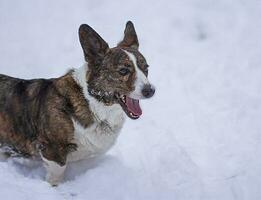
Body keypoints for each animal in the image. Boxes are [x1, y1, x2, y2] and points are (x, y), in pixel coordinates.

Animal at [0, 21, 154, 185]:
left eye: (146, 68)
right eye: (123, 71)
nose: (150, 90)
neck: (93, 103)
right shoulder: (53, 152)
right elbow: (56, 176)